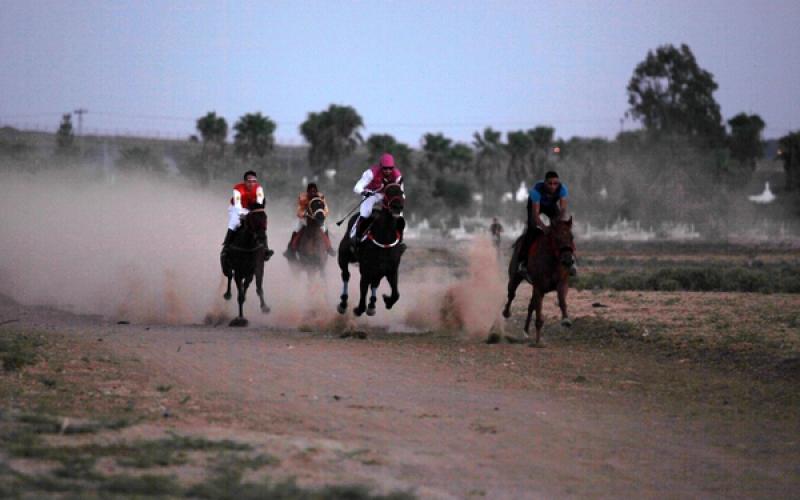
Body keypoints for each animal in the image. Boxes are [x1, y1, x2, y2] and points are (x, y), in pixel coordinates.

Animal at [336, 184, 406, 316]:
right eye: (388, 192)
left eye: (401, 192)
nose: (397, 207)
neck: (384, 239)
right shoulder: (366, 269)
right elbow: (363, 288)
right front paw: (359, 309)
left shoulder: (391, 270)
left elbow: (396, 294)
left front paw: (387, 301)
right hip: (343, 257)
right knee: (346, 275)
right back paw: (343, 303)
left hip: (378, 271)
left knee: (375, 283)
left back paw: (372, 304)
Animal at [500, 215, 576, 348]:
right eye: (557, 238)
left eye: (572, 237)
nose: (568, 261)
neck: (551, 261)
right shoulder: (539, 288)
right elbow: (539, 316)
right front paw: (538, 341)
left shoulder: (561, 283)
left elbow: (561, 300)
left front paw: (566, 319)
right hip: (515, 277)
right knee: (511, 294)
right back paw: (506, 312)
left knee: (531, 305)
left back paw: (526, 331)